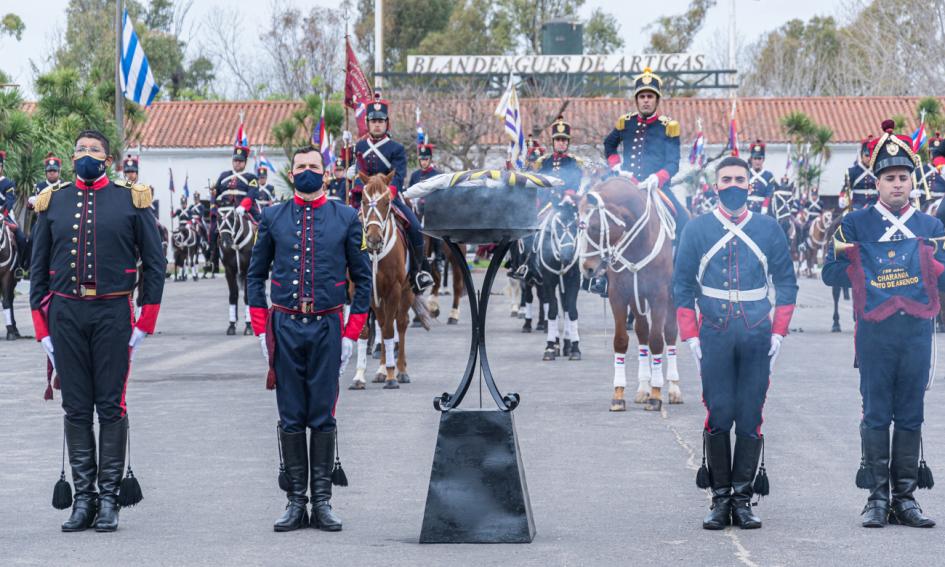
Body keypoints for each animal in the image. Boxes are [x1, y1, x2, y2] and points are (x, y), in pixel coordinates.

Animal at [218, 206, 254, 336]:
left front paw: (248, 326)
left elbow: (248, 297)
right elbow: (233, 295)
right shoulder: (229, 271)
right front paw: (232, 325)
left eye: (232, 218)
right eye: (218, 217)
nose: (225, 242)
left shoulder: (248, 270)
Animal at [350, 173, 432, 390]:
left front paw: (391, 376)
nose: (373, 238)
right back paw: (381, 370)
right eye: (363, 201)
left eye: (387, 202)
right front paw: (359, 377)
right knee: (382, 322)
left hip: (406, 291)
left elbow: (389, 329)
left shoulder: (394, 290)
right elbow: (365, 330)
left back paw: (400, 370)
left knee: (400, 324)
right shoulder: (365, 291)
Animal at [532, 202, 584, 362]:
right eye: (558, 228)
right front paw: (549, 347)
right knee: (551, 305)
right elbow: (552, 311)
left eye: (576, 227)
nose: (567, 257)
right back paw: (555, 344)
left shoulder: (573, 281)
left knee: (565, 307)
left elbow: (572, 311)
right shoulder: (548, 282)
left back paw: (566, 345)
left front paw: (575, 348)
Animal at [580, 175, 684, 410]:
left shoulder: (658, 295)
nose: (587, 269)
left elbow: (657, 340)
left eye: (596, 227)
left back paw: (673, 388)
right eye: (578, 226)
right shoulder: (618, 295)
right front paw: (619, 394)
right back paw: (643, 388)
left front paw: (656, 394)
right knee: (642, 332)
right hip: (637, 300)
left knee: (670, 333)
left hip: (669, 298)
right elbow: (621, 340)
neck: (637, 242)